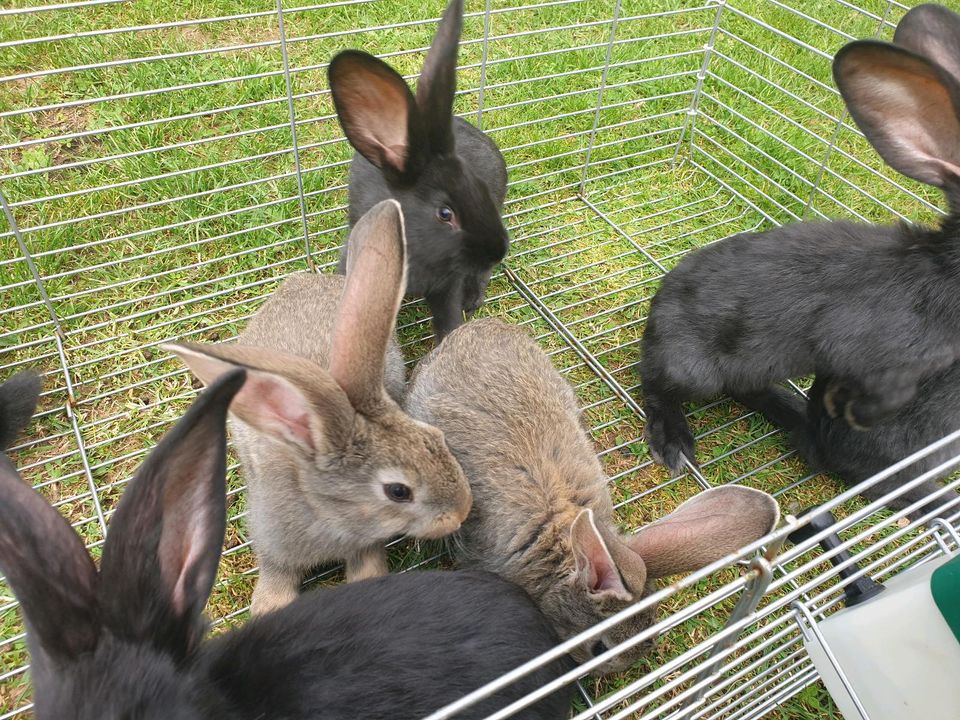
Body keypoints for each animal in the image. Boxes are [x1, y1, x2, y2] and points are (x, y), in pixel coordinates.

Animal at [169, 200, 476, 616]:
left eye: (438, 437)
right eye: (398, 491)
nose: (462, 512)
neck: (327, 512)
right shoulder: (276, 548)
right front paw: (268, 608)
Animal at [636, 5, 960, 476]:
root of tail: (656, 306)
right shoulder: (879, 353)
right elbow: (880, 396)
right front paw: (852, 413)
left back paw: (789, 409)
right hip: (692, 369)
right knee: (656, 384)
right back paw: (674, 443)